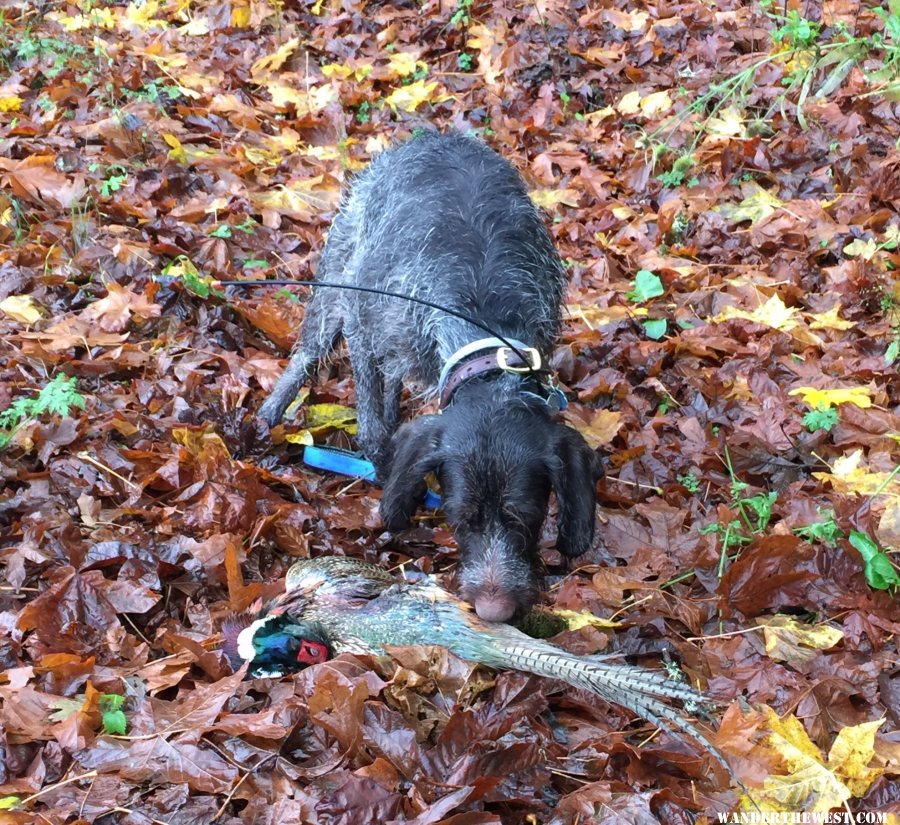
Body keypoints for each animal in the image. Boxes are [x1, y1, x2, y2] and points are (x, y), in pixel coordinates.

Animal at [256, 130, 600, 616]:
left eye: (527, 518)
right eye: (459, 518)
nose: (494, 612)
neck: (483, 333)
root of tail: (433, 135)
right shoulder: (362, 328)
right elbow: (372, 432)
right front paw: (391, 485)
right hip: (338, 275)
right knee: (311, 352)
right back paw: (268, 415)